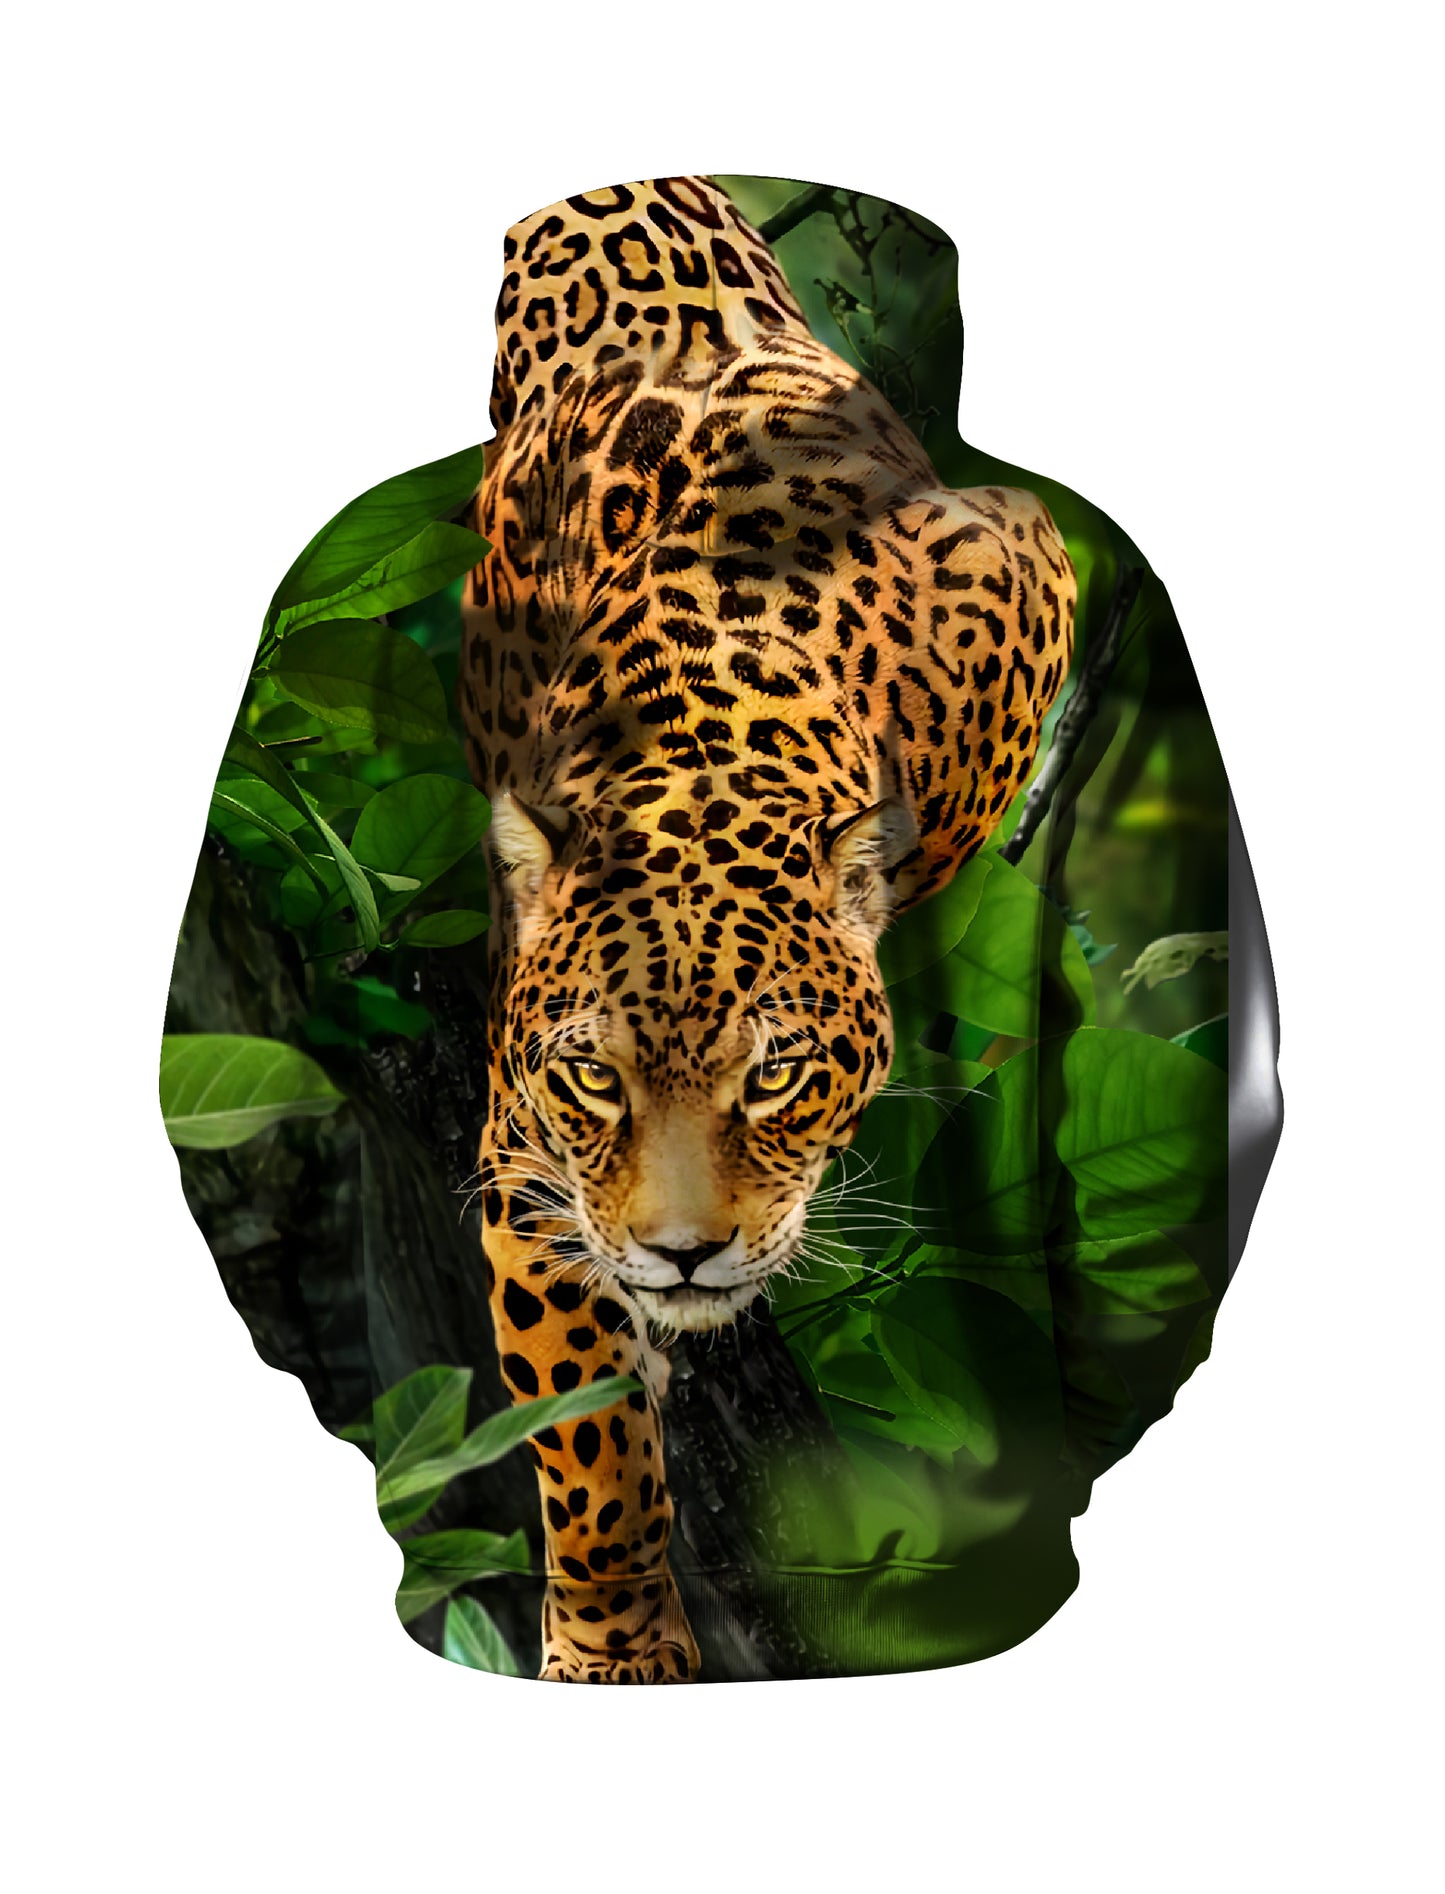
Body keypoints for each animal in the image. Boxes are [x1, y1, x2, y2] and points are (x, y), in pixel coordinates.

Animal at [457, 176, 1076, 1682]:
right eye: (594, 1075)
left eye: (777, 1072)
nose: (685, 1250)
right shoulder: (527, 1149)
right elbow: (581, 1432)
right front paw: (614, 1646)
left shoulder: (1025, 556)